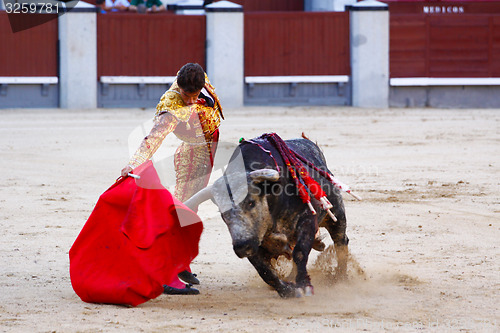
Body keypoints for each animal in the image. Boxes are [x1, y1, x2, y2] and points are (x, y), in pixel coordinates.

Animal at [184, 134, 348, 296]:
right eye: (222, 213)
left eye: (251, 203)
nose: (241, 247)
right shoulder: (253, 241)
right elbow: (264, 270)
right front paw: (287, 290)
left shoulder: (307, 219)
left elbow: (300, 252)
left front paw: (304, 285)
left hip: (336, 213)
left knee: (341, 240)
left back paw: (340, 278)